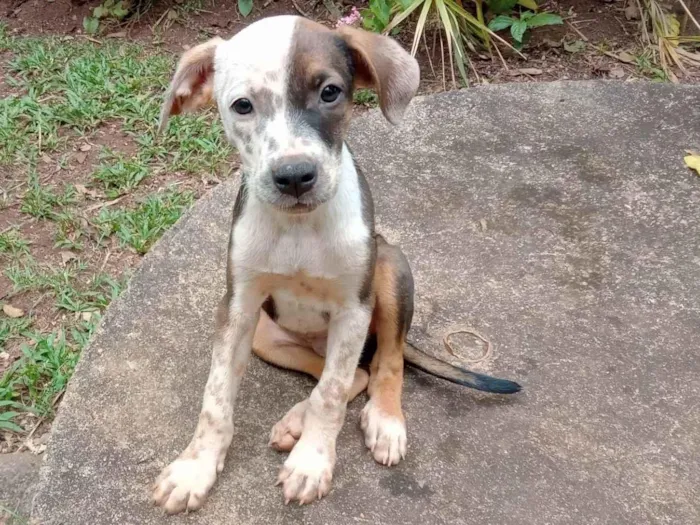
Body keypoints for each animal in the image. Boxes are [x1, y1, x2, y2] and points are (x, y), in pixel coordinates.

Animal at [153, 14, 524, 512]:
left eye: (330, 92)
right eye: (242, 105)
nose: (294, 177)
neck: (299, 228)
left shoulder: (353, 310)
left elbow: (330, 395)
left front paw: (311, 462)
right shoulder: (238, 308)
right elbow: (216, 396)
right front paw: (195, 469)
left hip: (389, 267)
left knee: (383, 363)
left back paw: (383, 421)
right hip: (268, 337)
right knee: (348, 372)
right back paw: (295, 419)